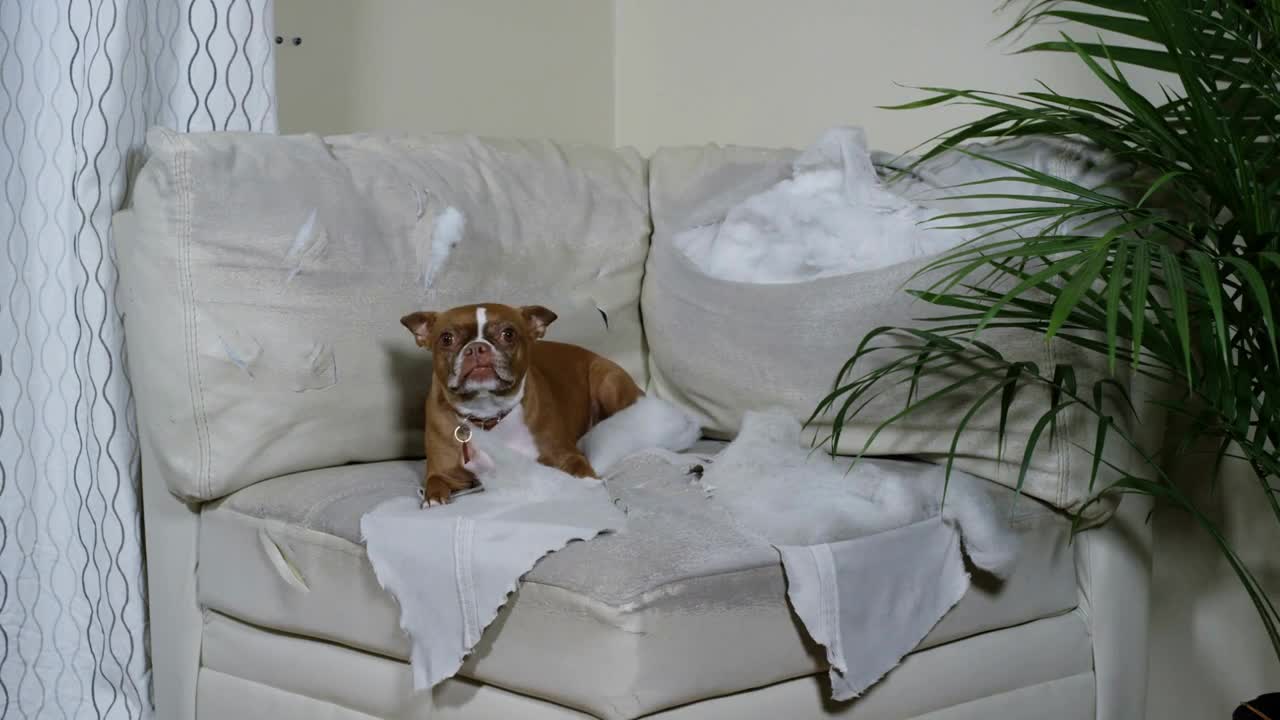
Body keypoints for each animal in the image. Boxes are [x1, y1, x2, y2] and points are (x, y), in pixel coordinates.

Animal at [396, 302, 640, 504]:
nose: (476, 348)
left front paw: (589, 484)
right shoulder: (442, 471)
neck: (487, 413)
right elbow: (435, 482)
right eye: (446, 338)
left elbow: (580, 468)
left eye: (508, 334)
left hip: (607, 379)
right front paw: (433, 499)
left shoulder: (565, 454)